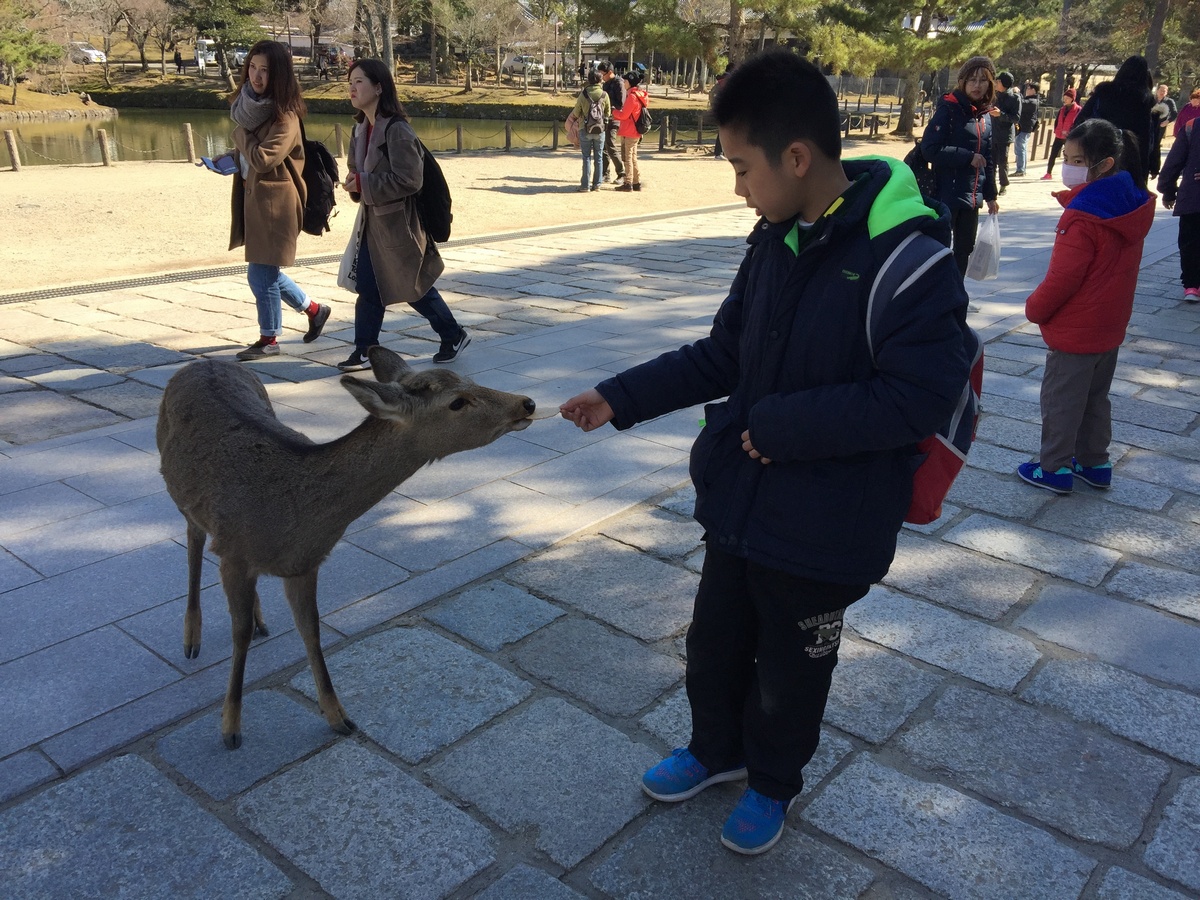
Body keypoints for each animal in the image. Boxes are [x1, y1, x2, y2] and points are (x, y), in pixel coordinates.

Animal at [156, 346, 537, 749]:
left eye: (470, 380)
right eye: (457, 402)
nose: (526, 403)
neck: (293, 516)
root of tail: (204, 362)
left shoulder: (305, 563)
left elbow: (311, 628)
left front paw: (338, 717)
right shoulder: (234, 552)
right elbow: (238, 634)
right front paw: (230, 729)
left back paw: (259, 620)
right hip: (181, 494)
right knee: (194, 544)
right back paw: (191, 640)